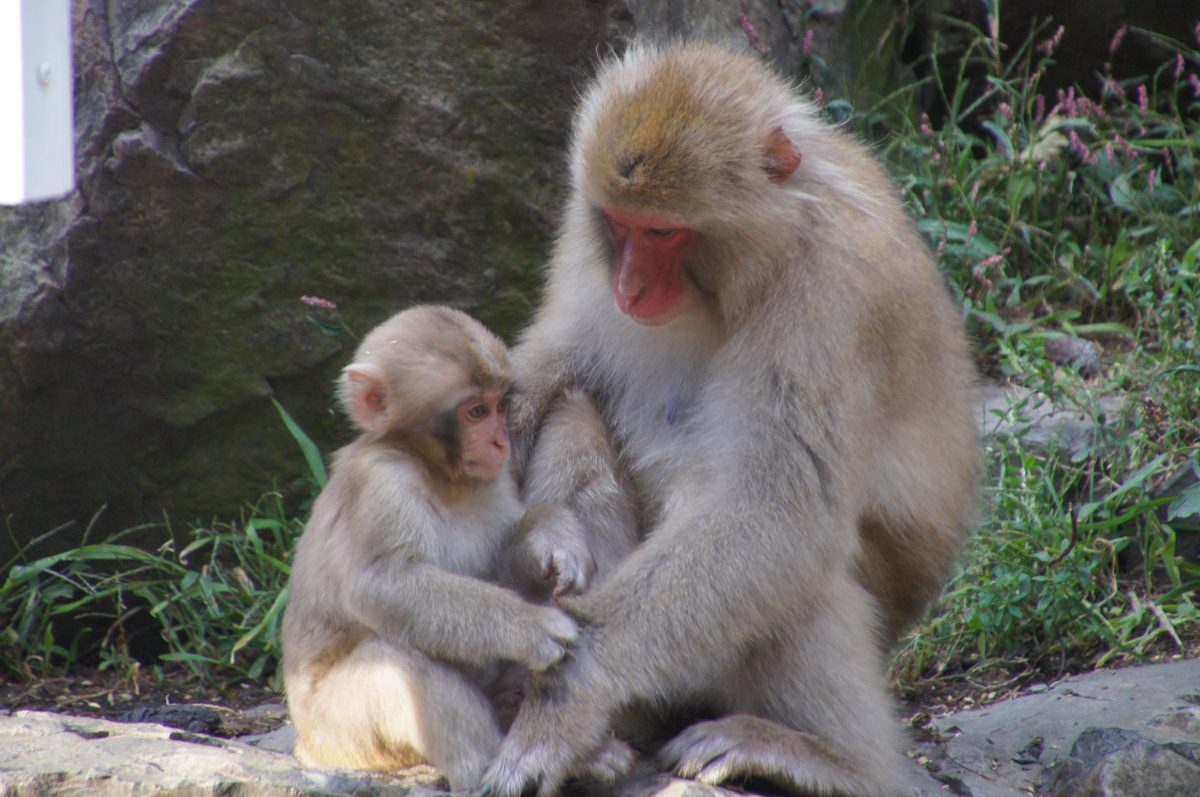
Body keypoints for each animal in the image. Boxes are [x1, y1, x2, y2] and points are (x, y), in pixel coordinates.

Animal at [281, 306, 633, 791]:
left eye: (501, 406)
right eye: (476, 411)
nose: (501, 440)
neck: (439, 476)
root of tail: (305, 747)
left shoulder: (494, 480)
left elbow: (504, 558)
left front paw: (554, 539)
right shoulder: (383, 483)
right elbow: (381, 584)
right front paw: (529, 628)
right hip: (341, 734)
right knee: (397, 660)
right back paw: (496, 768)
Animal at [479, 41, 980, 797]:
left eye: (664, 231)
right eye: (619, 226)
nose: (630, 287)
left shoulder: (830, 291)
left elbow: (774, 511)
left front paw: (568, 695)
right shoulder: (581, 241)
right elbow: (546, 371)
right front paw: (543, 540)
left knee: (795, 559)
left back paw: (831, 759)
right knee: (577, 402)